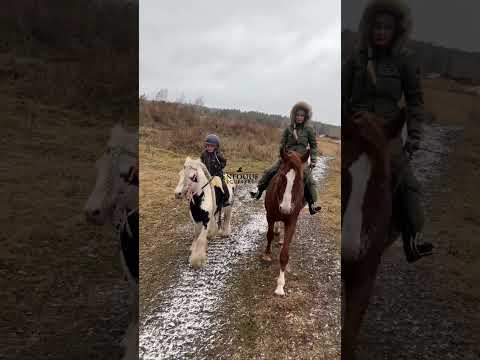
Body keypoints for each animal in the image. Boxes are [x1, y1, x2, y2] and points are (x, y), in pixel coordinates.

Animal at [262, 148, 312, 296]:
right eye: (281, 176)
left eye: (300, 179)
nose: (285, 208)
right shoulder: (270, 216)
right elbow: (269, 235)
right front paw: (267, 254)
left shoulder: (291, 221)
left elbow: (284, 254)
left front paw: (280, 287)